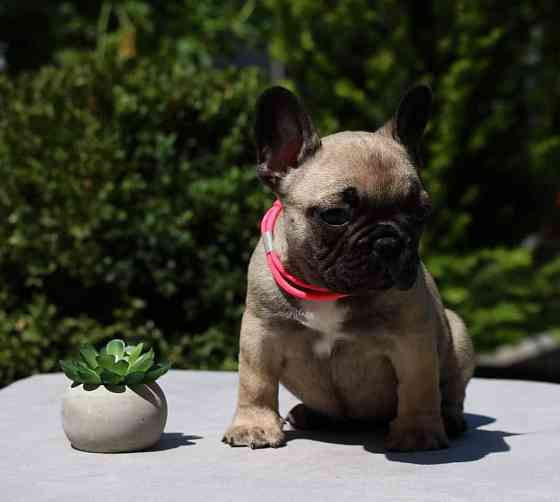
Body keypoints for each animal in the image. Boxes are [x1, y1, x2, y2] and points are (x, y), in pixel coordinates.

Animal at [221, 83, 474, 452]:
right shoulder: (260, 331)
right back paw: (309, 414)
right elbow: (256, 382)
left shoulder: (412, 340)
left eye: (421, 213)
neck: (328, 291)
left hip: (458, 333)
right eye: (335, 215)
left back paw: (449, 420)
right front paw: (254, 425)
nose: (389, 242)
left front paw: (416, 432)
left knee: (452, 391)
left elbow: (418, 387)